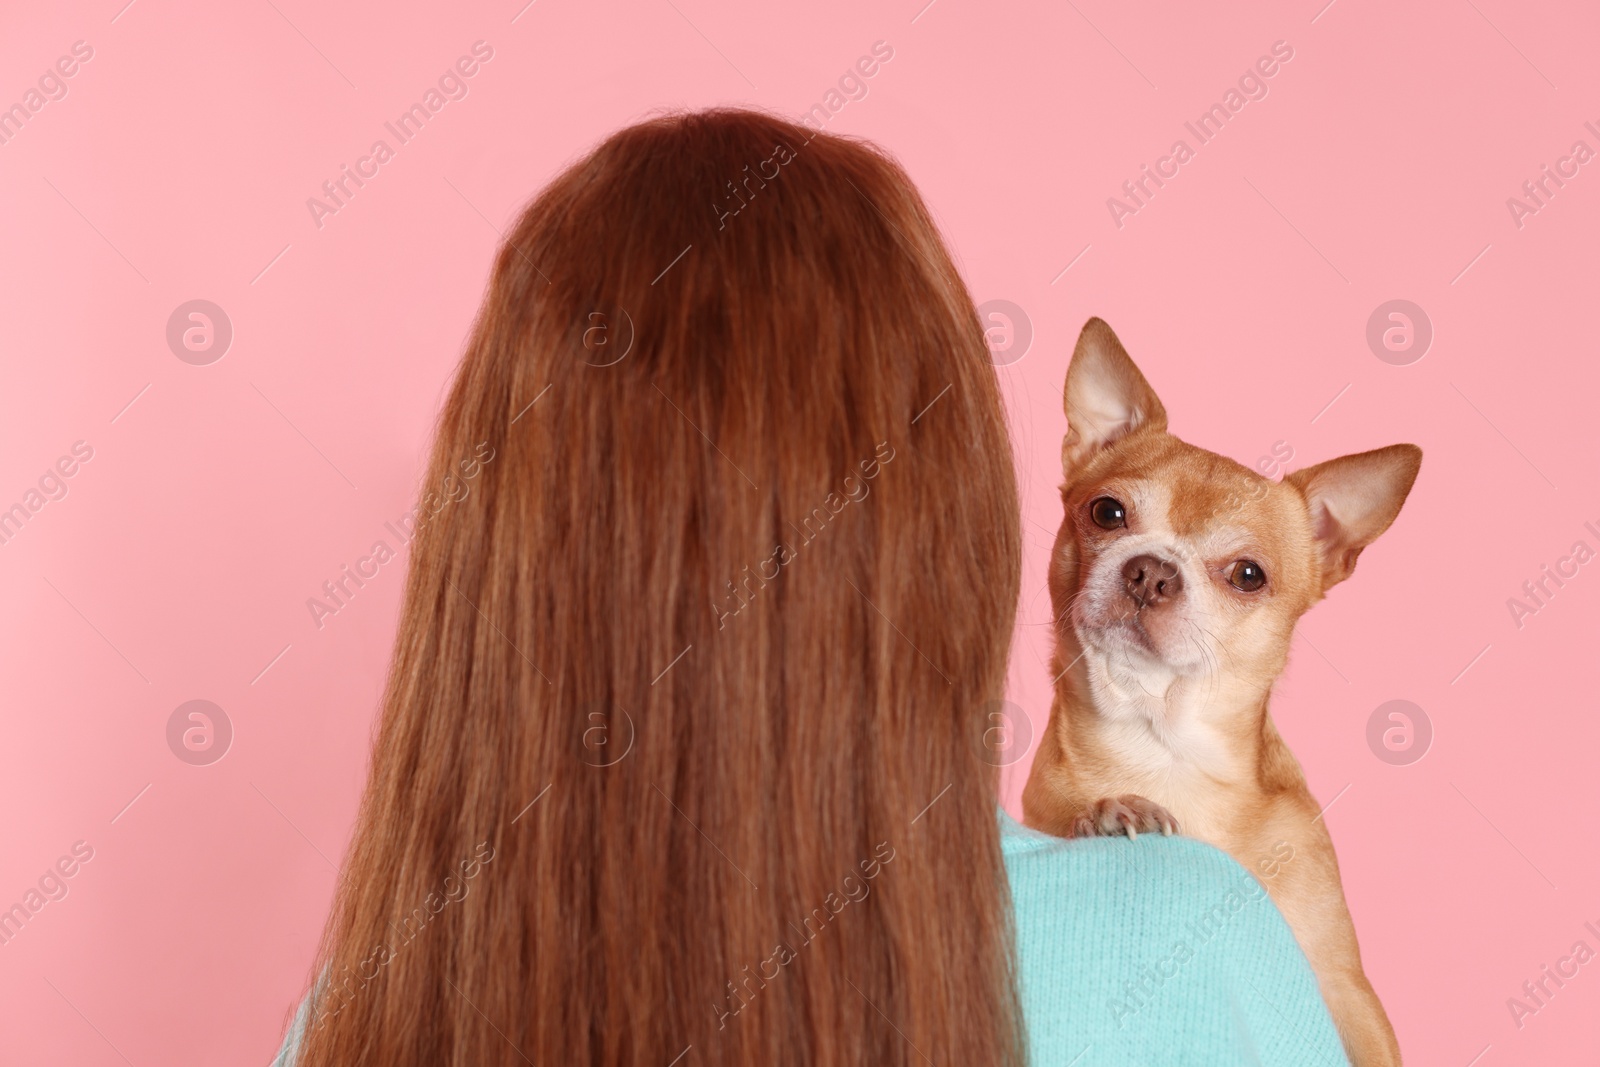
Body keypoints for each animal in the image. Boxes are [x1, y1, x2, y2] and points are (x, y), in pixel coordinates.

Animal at [1024, 319, 1414, 1067]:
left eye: (1248, 574)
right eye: (1107, 512)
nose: (1151, 571)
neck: (1166, 745)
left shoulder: (1346, 990)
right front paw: (1111, 811)